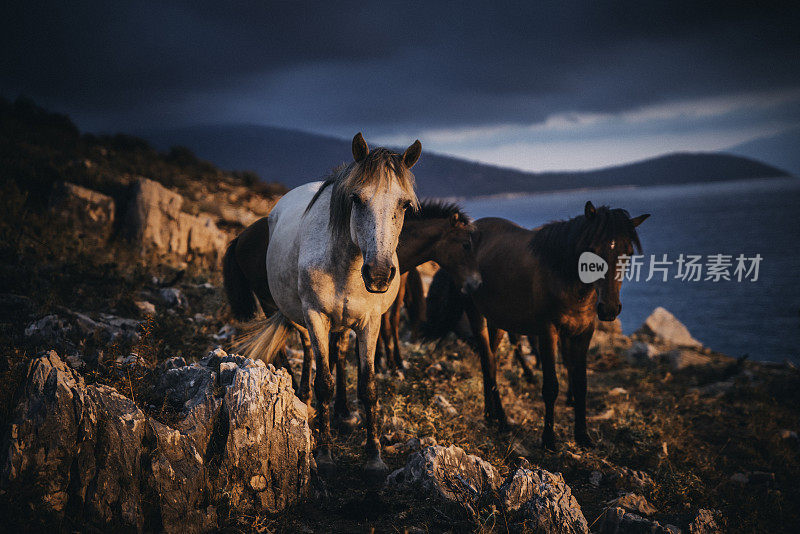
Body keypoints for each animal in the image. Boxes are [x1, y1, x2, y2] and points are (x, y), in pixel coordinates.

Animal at [247, 132, 422, 476]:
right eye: (356, 199)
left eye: (405, 204)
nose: (379, 274)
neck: (348, 262)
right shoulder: (316, 316)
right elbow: (324, 382)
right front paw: (325, 454)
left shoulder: (370, 322)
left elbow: (368, 386)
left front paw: (374, 457)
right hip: (302, 318)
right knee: (310, 353)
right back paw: (305, 401)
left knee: (339, 352)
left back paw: (344, 412)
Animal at [422, 203, 648, 450]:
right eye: (592, 249)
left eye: (628, 252)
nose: (609, 309)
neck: (563, 277)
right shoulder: (548, 333)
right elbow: (551, 387)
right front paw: (549, 439)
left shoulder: (583, 334)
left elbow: (581, 383)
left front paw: (583, 436)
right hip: (476, 314)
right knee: (488, 363)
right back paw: (500, 420)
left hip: (498, 321)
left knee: (489, 360)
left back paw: (492, 416)